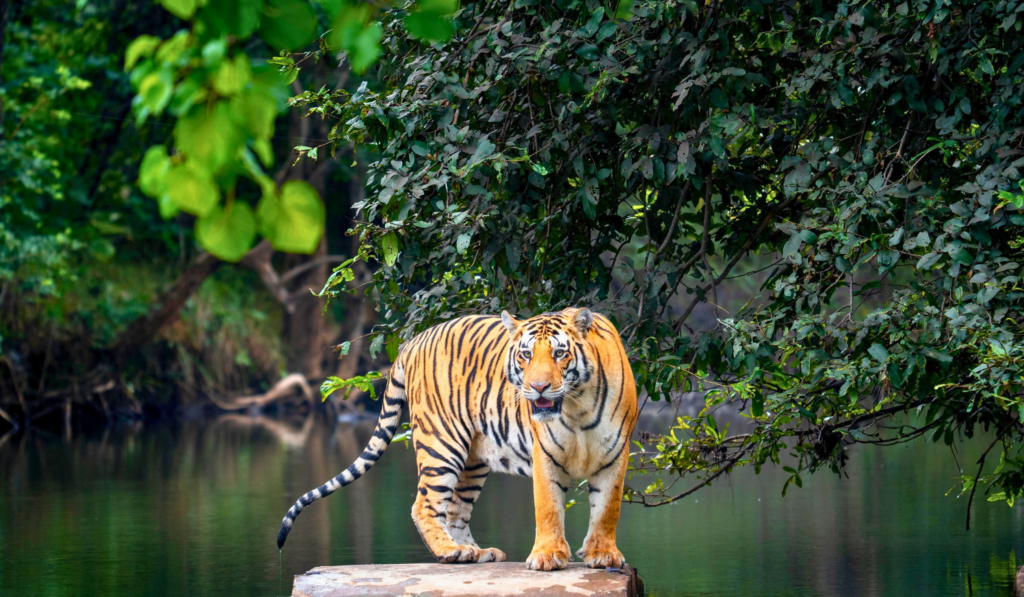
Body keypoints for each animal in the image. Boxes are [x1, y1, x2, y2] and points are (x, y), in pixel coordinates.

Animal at [276, 307, 639, 571]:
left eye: (560, 353)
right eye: (525, 355)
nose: (537, 388)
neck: (577, 408)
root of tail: (413, 340)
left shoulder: (615, 454)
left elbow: (607, 509)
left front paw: (602, 554)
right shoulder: (546, 455)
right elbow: (548, 507)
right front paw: (548, 556)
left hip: (473, 459)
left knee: (454, 510)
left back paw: (473, 551)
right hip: (442, 444)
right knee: (424, 505)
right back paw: (450, 551)